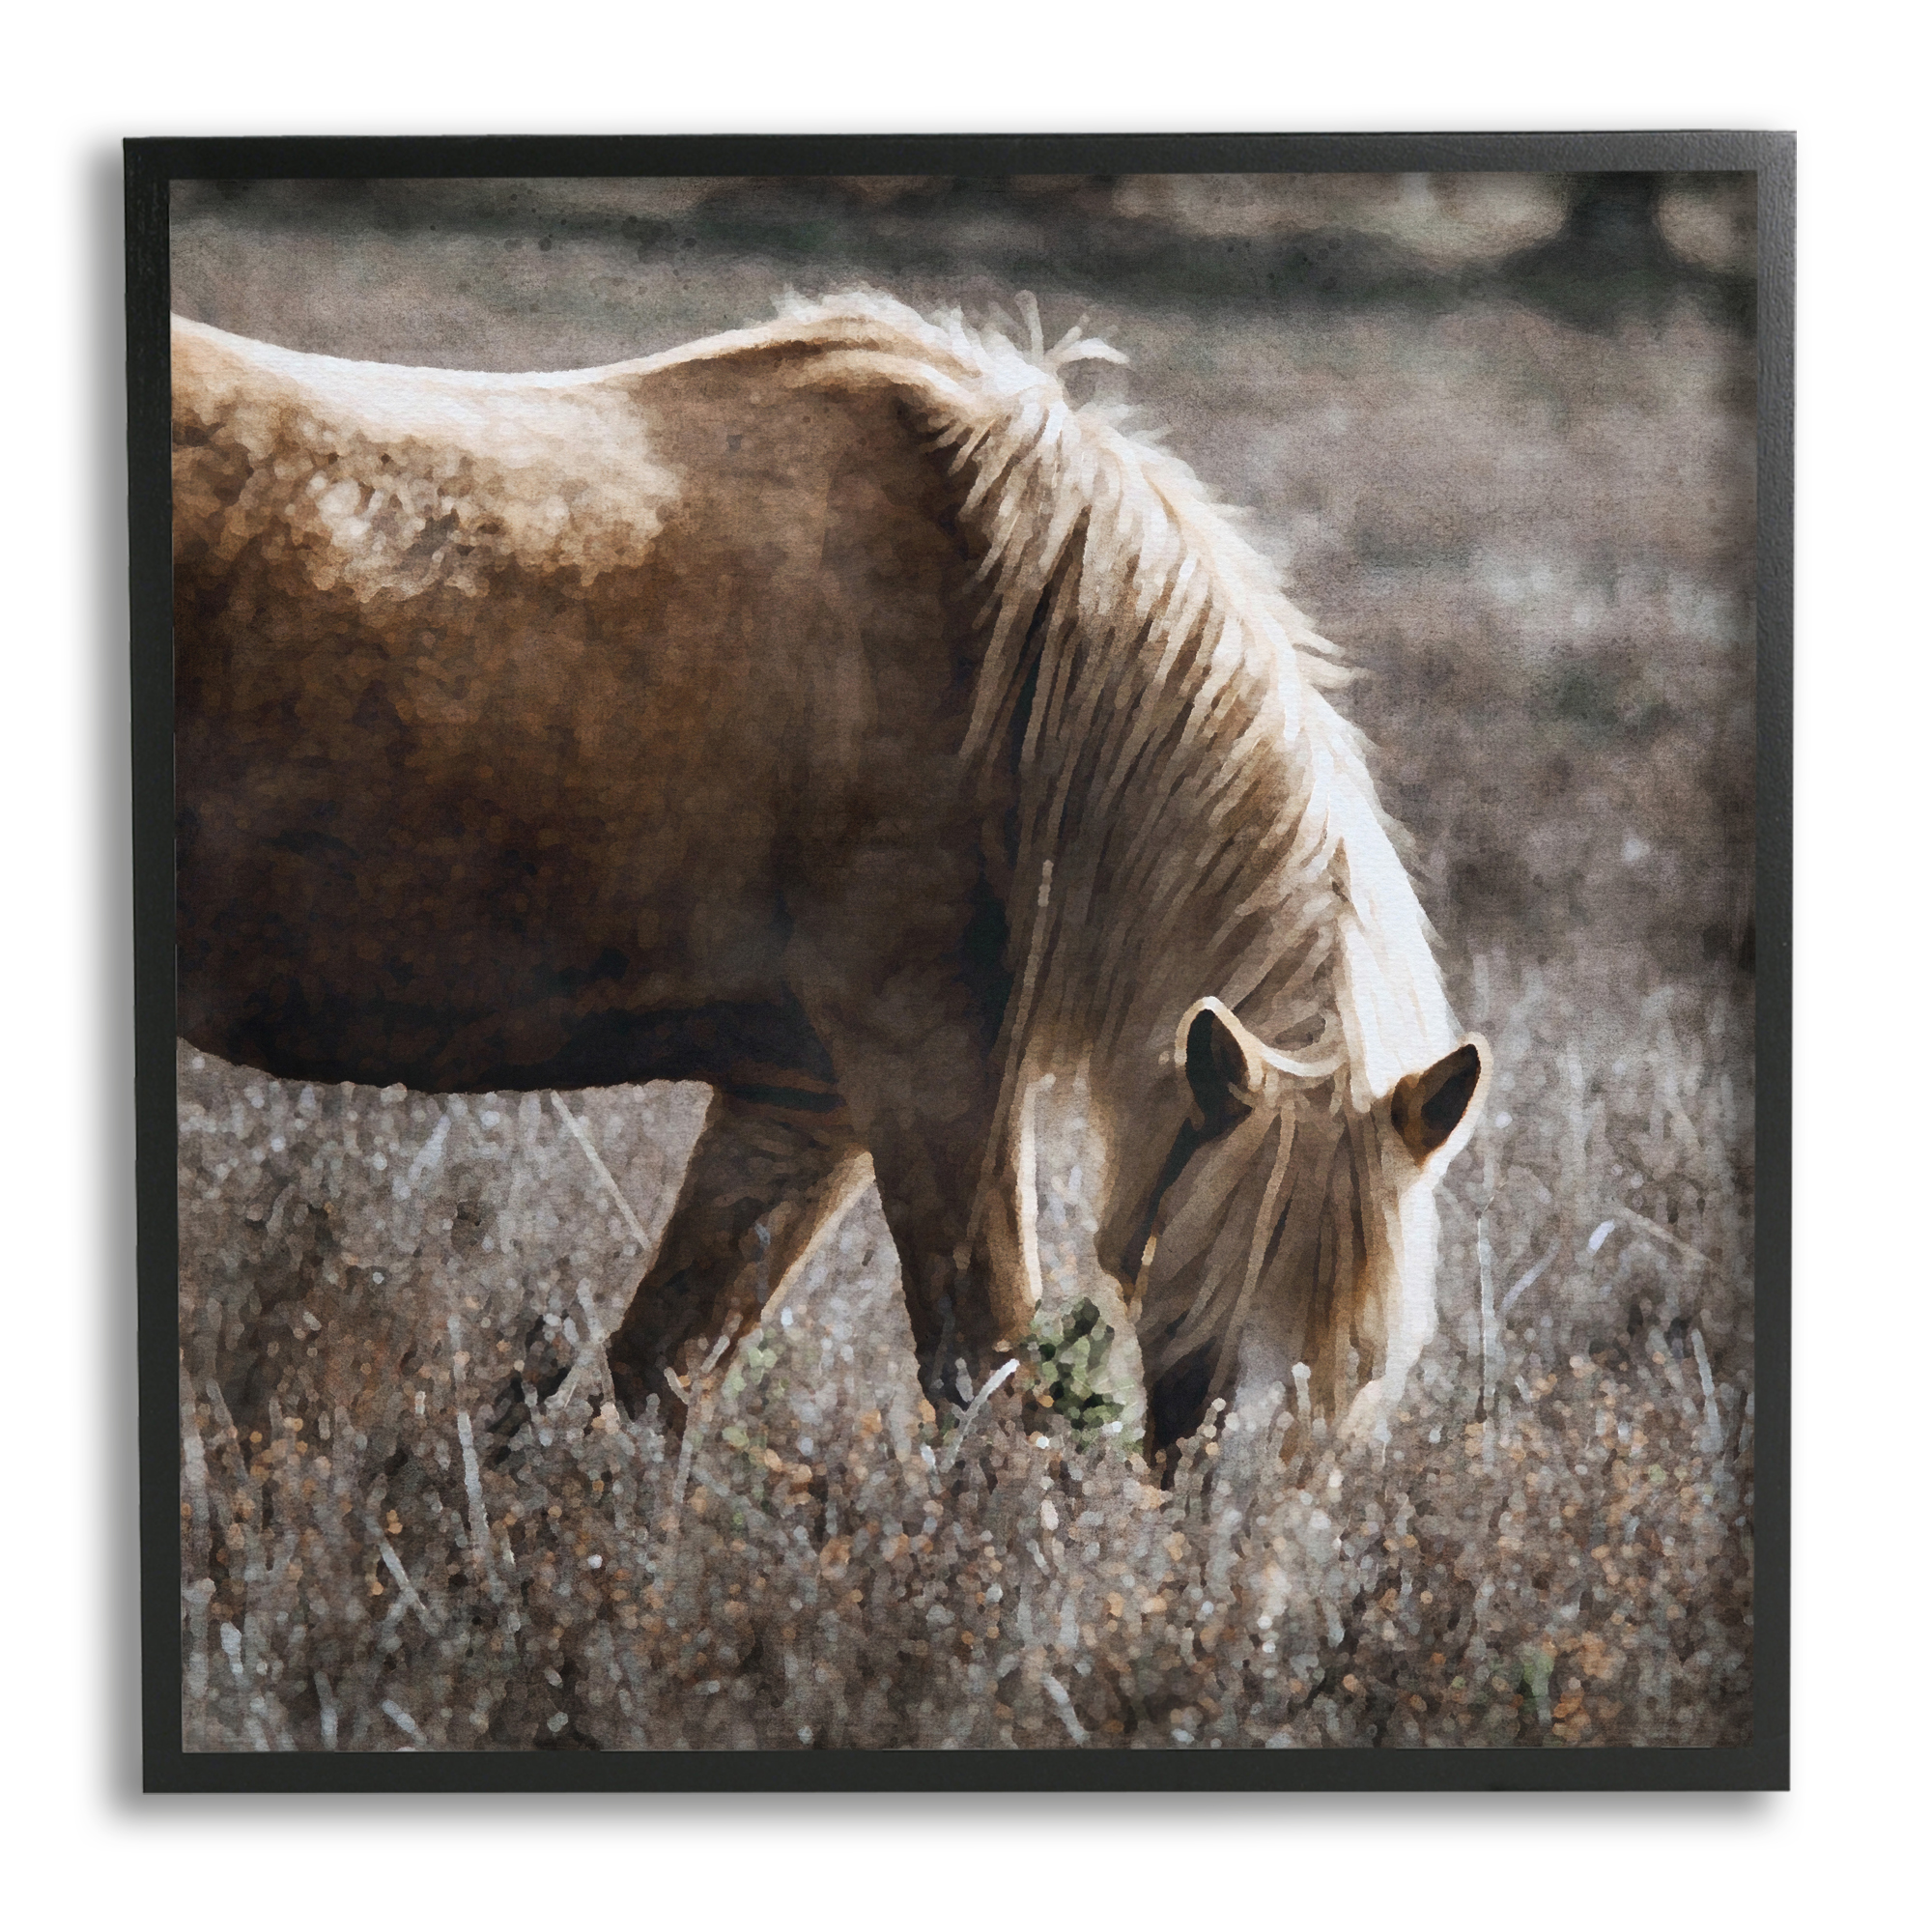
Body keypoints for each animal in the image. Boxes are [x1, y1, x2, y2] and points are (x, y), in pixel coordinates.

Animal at [171, 289, 1488, 1454]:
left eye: (1369, 1366)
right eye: (1214, 1331)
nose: (1236, 1574)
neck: (1009, 663)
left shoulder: (801, 1108)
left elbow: (660, 1373)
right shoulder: (927, 1079)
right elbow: (988, 1384)